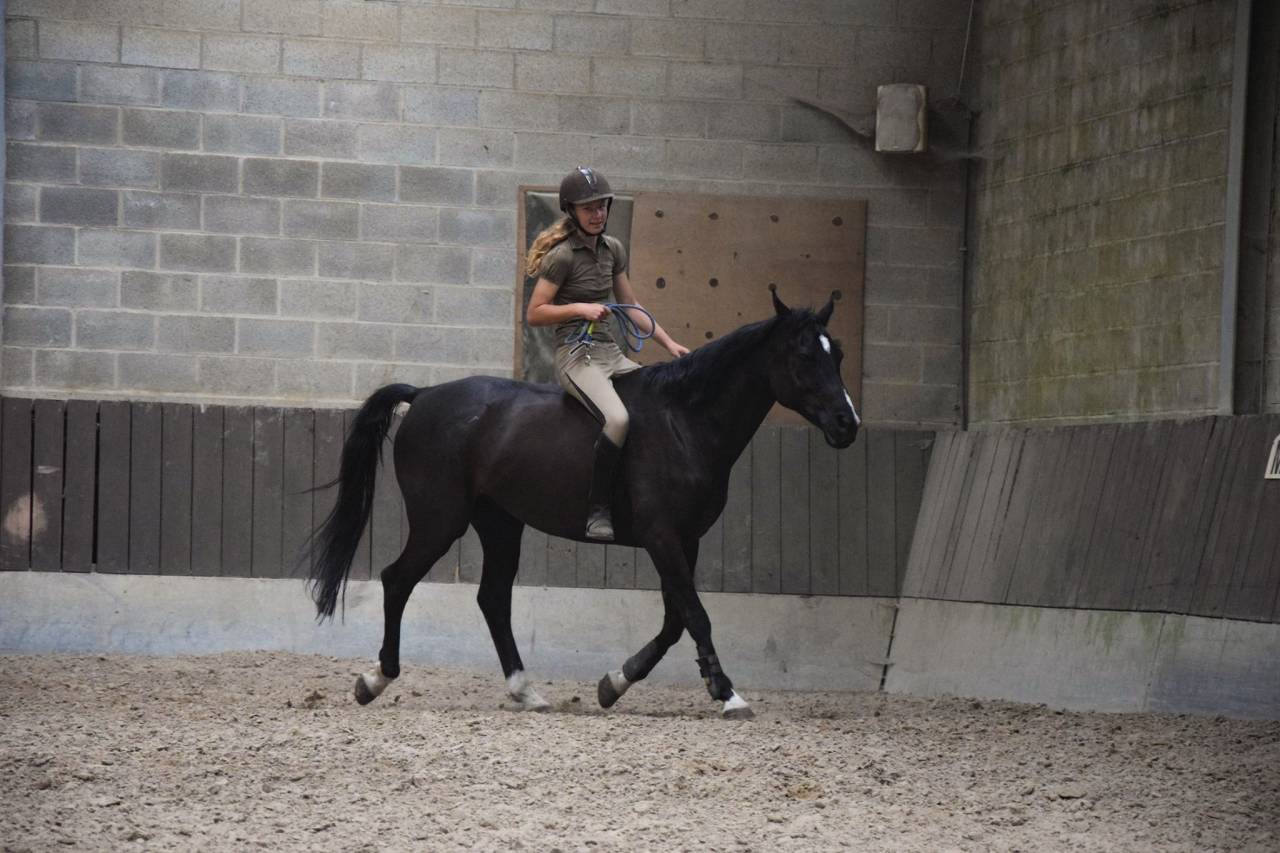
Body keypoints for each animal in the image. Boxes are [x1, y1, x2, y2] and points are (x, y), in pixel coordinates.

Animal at [308, 289, 860, 719]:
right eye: (804, 357)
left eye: (836, 356)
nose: (847, 425)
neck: (686, 420)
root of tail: (423, 395)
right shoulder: (663, 538)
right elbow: (695, 615)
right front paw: (727, 694)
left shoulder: (686, 540)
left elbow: (675, 620)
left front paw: (615, 683)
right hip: (440, 520)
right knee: (398, 580)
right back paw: (375, 680)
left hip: (500, 523)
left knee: (493, 599)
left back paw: (526, 691)